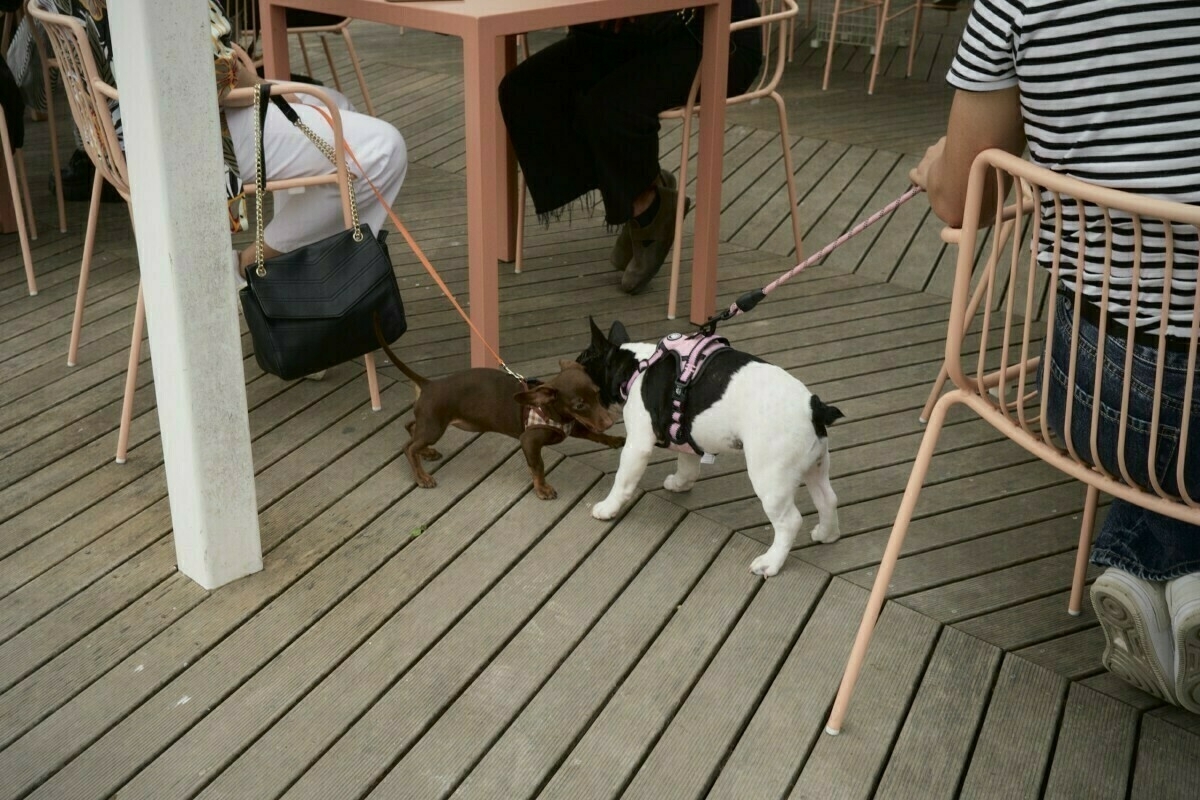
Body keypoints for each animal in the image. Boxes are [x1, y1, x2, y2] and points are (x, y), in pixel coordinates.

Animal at [372, 335, 619, 496]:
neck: (552, 412)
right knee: (408, 447)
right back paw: (422, 477)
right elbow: (538, 466)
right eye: (579, 405)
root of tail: (429, 385)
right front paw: (542, 488)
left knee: (411, 427)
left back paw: (427, 452)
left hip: (430, 423)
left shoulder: (573, 427)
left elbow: (595, 435)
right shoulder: (529, 441)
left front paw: (617, 440)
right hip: (434, 426)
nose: (611, 422)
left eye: (598, 393)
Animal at [578, 319, 844, 575]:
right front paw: (679, 483)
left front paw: (607, 508)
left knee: (790, 521)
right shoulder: (684, 435)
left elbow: (622, 481)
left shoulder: (637, 445)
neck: (635, 366)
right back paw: (827, 534)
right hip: (815, 464)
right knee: (828, 499)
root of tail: (815, 408)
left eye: (580, 363)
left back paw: (771, 562)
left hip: (770, 477)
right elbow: (687, 466)